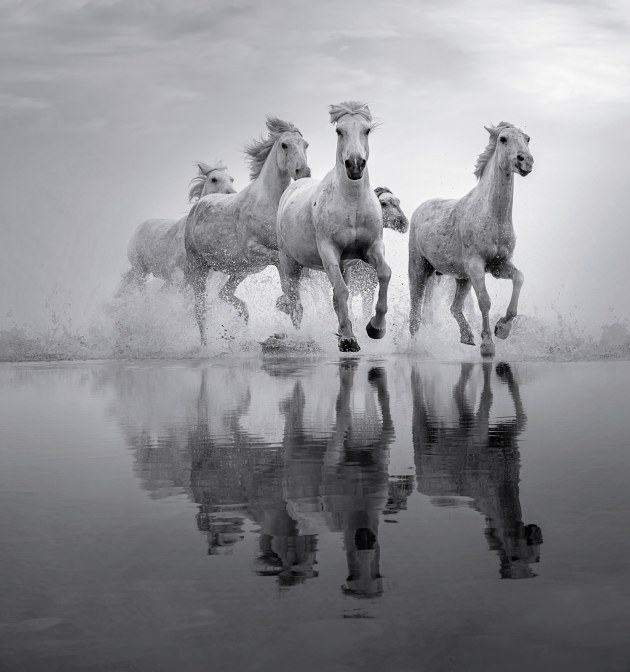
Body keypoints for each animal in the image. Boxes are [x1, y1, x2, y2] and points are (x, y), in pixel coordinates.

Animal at [186, 117, 312, 344]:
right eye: (284, 145)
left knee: (224, 295)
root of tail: (200, 202)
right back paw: (206, 346)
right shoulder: (253, 250)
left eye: (305, 145)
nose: (303, 172)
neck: (269, 203)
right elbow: (283, 272)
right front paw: (284, 303)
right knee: (200, 311)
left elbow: (293, 293)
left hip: (239, 271)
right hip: (198, 267)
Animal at [278, 101, 392, 352]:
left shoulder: (371, 248)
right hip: (290, 264)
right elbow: (340, 292)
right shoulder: (329, 252)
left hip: (344, 266)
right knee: (295, 302)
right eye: (339, 131)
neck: (352, 201)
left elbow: (384, 274)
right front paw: (349, 340)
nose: (355, 165)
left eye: (367, 130)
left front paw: (376, 328)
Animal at [410, 123, 532, 360]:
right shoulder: (476, 265)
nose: (526, 161)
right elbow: (484, 300)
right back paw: (415, 348)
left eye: (527, 138)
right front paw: (488, 345)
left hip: (462, 278)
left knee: (454, 307)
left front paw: (502, 329)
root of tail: (421, 208)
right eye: (503, 138)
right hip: (419, 270)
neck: (492, 216)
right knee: (415, 314)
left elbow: (519, 278)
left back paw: (467, 336)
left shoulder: (499, 265)